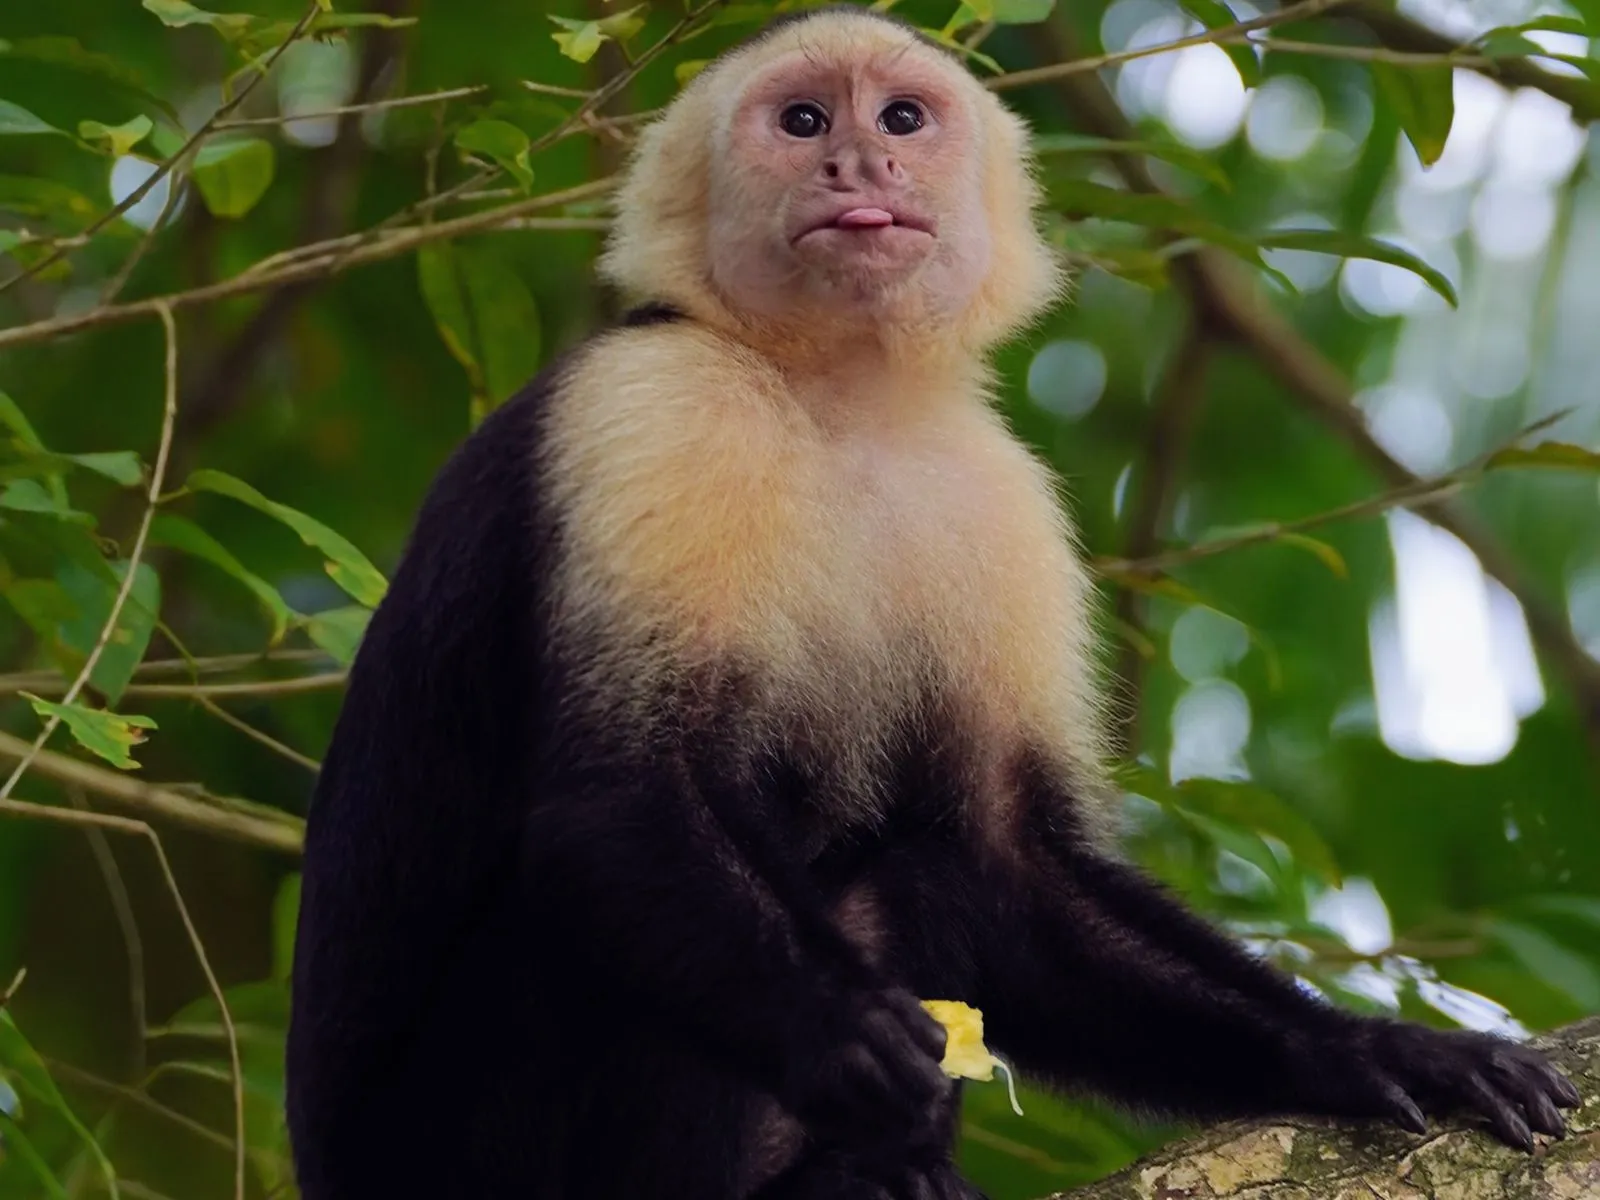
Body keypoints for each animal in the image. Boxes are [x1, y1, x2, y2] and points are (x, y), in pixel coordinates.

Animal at [284, 7, 1581, 1199]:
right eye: (804, 122)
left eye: (901, 118)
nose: (860, 164)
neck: (833, 394)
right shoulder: (655, 408)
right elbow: (619, 799)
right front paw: (841, 1031)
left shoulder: (1000, 494)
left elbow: (1015, 873)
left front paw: (1371, 1051)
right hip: (452, 1149)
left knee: (921, 876)